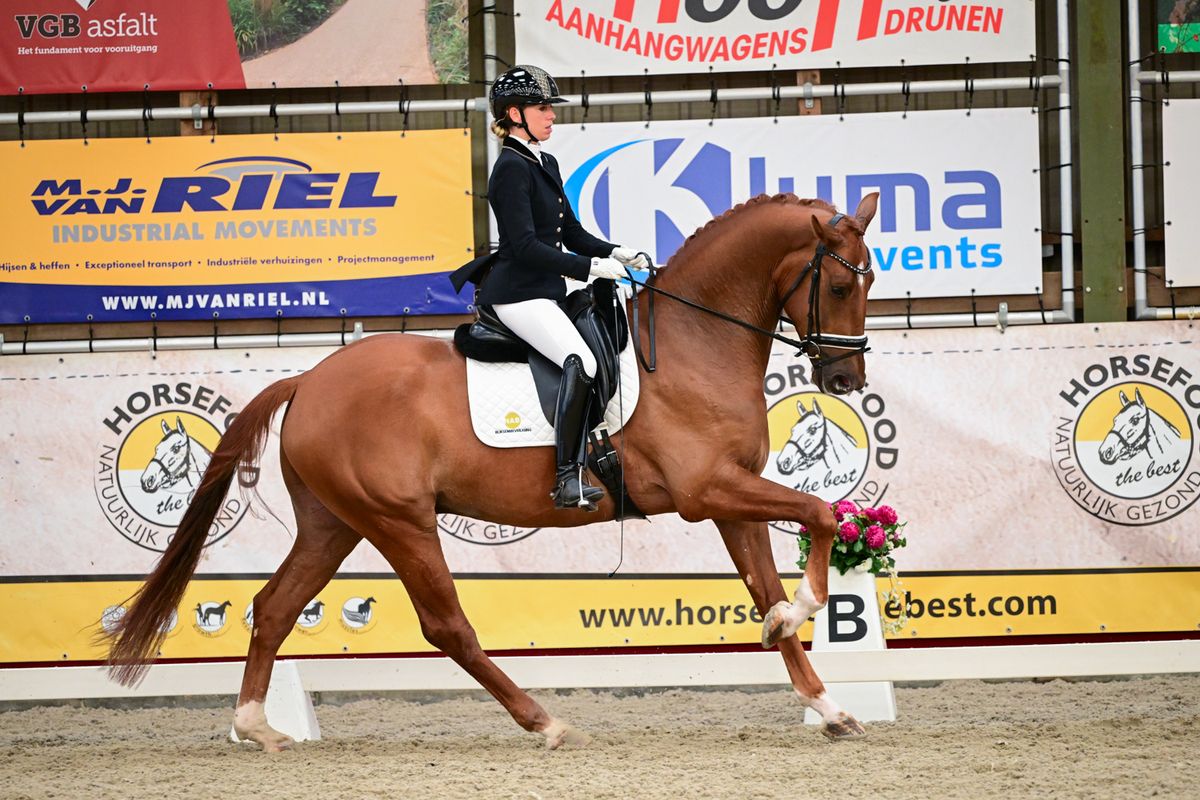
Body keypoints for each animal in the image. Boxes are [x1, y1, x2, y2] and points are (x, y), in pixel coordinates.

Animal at [105, 192, 880, 752]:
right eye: (843, 285)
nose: (844, 379)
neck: (697, 342)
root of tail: (309, 380)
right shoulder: (705, 490)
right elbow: (820, 514)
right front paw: (804, 611)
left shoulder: (728, 496)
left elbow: (765, 584)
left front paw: (827, 702)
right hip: (399, 521)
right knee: (447, 626)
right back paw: (544, 722)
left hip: (334, 524)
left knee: (274, 607)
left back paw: (258, 727)